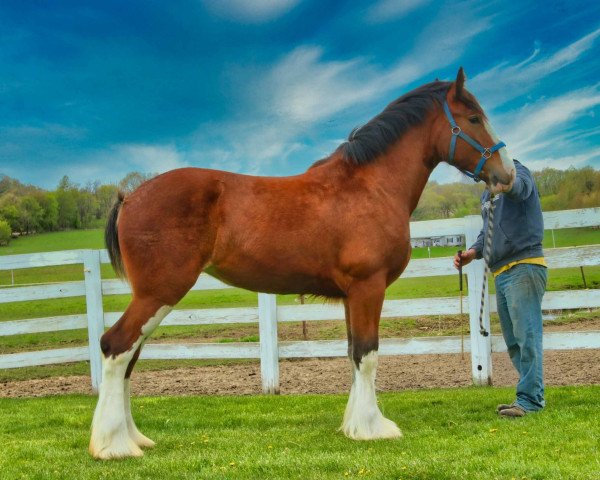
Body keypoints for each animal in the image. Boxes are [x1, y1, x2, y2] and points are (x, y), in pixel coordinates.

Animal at [90, 66, 516, 458]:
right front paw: (373, 428)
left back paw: (132, 438)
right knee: (116, 346)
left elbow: (353, 354)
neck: (370, 186)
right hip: (160, 292)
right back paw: (114, 446)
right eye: (473, 118)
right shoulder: (368, 286)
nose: (507, 174)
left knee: (128, 357)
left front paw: (353, 425)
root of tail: (131, 197)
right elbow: (368, 354)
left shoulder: (352, 295)